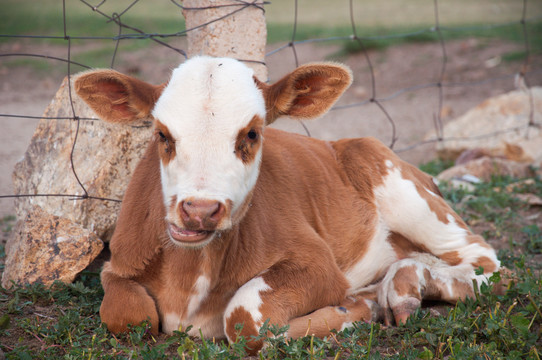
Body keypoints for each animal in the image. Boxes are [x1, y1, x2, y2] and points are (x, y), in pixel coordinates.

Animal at [74, 57, 504, 354]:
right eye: (162, 135)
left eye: (251, 134)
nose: (199, 210)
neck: (189, 277)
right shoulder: (118, 264)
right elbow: (127, 315)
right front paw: (359, 305)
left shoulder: (319, 266)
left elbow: (245, 319)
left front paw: (349, 312)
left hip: (401, 188)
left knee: (485, 262)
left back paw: (400, 289)